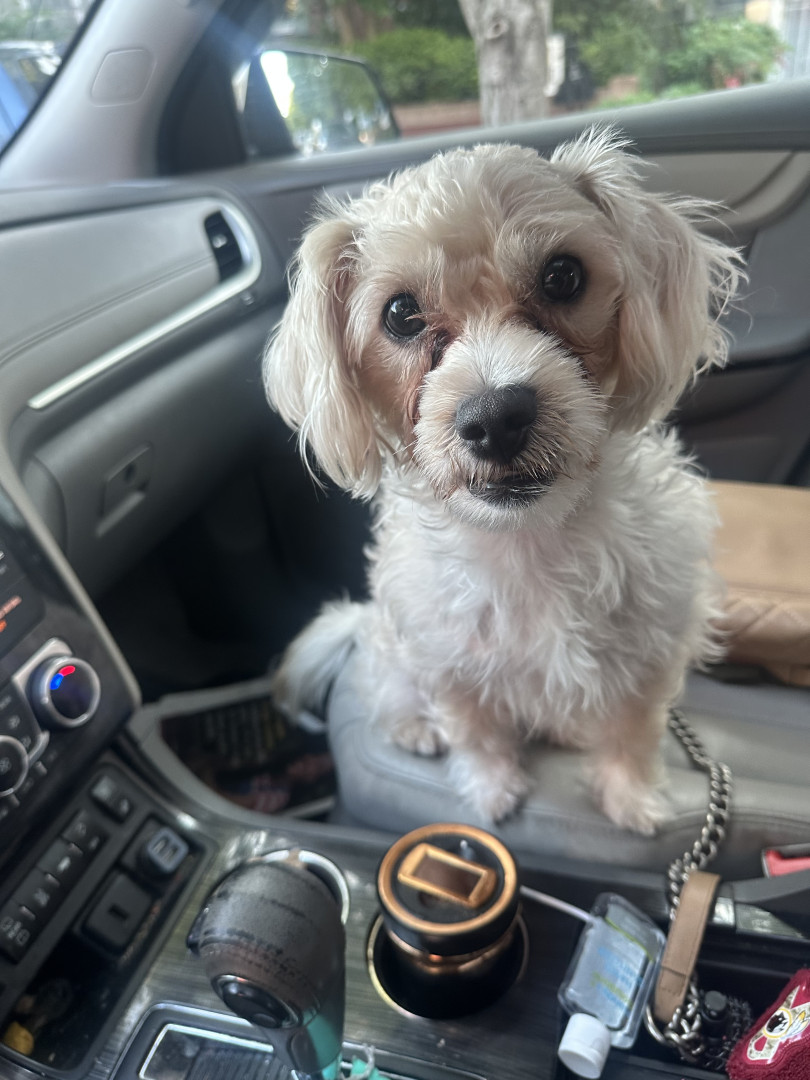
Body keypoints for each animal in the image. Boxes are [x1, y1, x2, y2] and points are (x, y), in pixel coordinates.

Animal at [263, 127, 740, 835]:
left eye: (564, 276)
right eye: (400, 314)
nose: (495, 419)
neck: (528, 540)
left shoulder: (652, 652)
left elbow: (632, 730)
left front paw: (631, 796)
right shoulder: (448, 663)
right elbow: (475, 730)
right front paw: (492, 788)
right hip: (390, 648)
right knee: (388, 688)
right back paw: (413, 727)